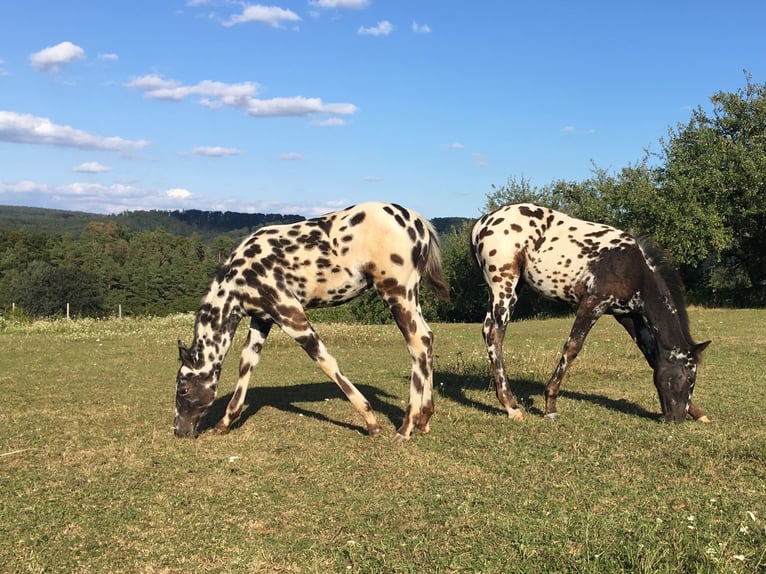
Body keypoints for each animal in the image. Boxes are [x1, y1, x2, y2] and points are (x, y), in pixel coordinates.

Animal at [174, 201, 450, 440]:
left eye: (183, 389)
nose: (178, 431)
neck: (239, 275)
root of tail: (418, 221)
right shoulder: (262, 319)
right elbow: (246, 363)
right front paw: (225, 421)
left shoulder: (290, 314)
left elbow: (324, 360)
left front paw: (370, 421)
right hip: (410, 297)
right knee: (427, 338)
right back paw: (424, 419)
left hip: (397, 295)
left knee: (417, 343)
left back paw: (406, 427)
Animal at [472, 205, 716, 426]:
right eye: (689, 376)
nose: (677, 418)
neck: (634, 268)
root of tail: (481, 223)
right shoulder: (593, 303)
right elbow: (572, 347)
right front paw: (550, 407)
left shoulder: (628, 315)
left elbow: (651, 355)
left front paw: (699, 413)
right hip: (504, 287)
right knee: (495, 334)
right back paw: (511, 407)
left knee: (489, 331)